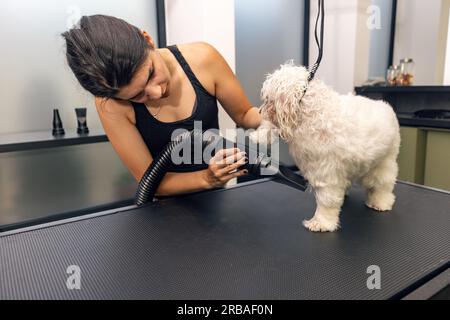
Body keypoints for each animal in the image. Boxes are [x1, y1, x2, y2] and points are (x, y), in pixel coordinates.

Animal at [251, 63, 402, 232]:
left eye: (267, 99)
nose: (259, 111)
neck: (314, 112)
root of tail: (387, 108)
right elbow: (269, 127)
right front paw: (258, 135)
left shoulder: (326, 173)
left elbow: (326, 201)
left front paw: (321, 222)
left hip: (384, 162)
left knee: (382, 184)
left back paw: (381, 202)